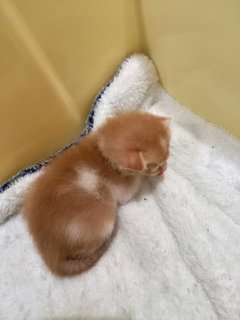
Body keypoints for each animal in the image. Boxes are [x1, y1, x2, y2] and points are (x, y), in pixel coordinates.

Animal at [23, 112, 171, 278]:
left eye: (168, 155)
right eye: (154, 167)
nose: (165, 168)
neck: (102, 151)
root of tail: (50, 253)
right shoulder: (123, 191)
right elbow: (135, 183)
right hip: (106, 219)